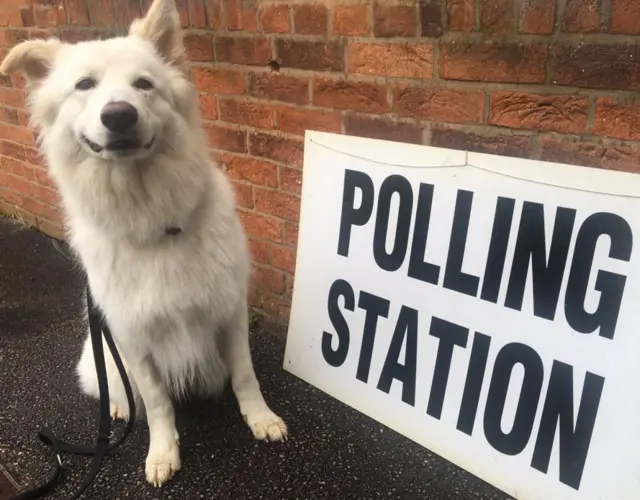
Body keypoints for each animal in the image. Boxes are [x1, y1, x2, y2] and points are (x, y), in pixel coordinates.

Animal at [0, 0, 286, 488]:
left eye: (144, 84)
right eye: (85, 85)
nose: (119, 115)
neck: (150, 220)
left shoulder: (230, 313)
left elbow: (246, 375)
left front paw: (260, 419)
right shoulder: (132, 338)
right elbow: (154, 402)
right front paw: (163, 452)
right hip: (103, 355)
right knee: (119, 389)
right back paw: (117, 408)